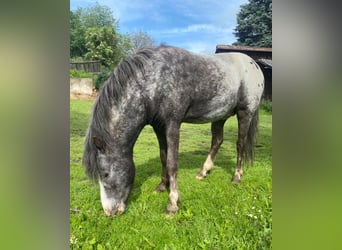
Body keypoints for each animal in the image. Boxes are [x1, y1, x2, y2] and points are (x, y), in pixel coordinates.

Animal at [83, 45, 264, 217]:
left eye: (105, 174)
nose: (109, 212)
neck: (153, 81)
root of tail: (254, 65)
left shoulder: (172, 125)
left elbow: (172, 163)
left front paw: (172, 203)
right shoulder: (159, 127)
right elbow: (163, 157)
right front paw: (162, 186)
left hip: (245, 113)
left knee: (240, 144)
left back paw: (236, 176)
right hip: (220, 115)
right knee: (217, 141)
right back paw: (203, 172)